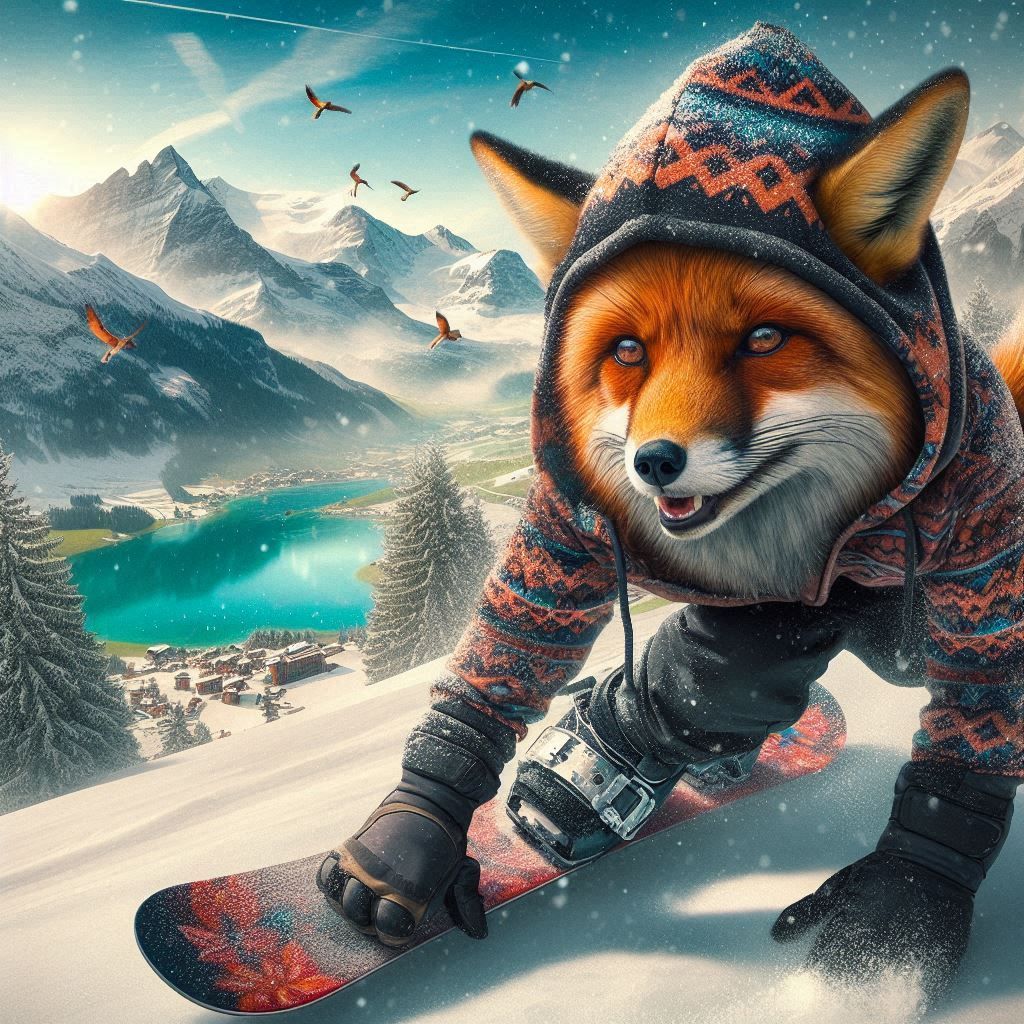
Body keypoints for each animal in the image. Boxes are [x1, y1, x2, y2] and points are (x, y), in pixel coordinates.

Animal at [319, 23, 1024, 1003]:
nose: (653, 463)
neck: (799, 538)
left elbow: (979, 711)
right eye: (627, 352)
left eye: (764, 338)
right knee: (718, 673)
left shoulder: (984, 504)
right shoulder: (573, 503)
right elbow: (515, 636)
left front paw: (896, 920)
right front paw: (413, 827)